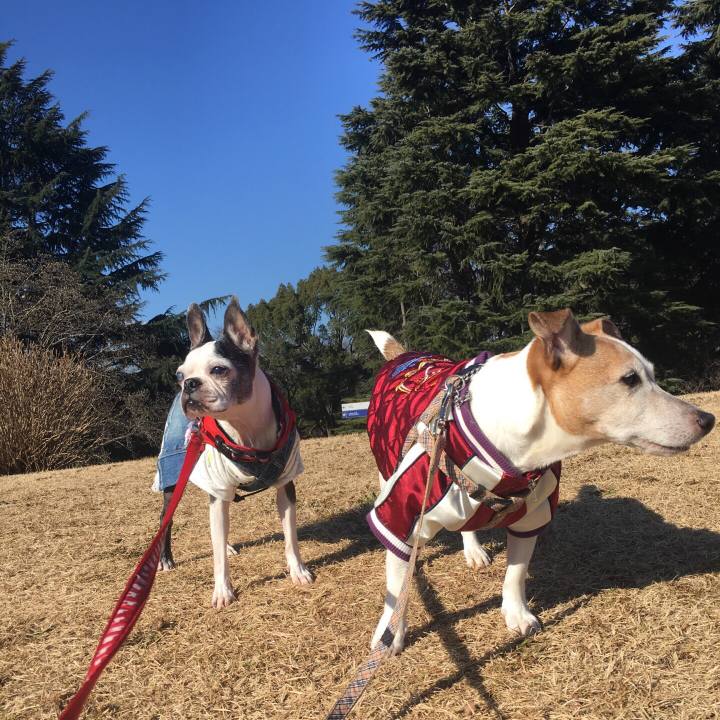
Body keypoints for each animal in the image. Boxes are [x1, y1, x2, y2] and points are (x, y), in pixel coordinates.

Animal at [159, 297, 313, 608]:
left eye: (219, 370)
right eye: (180, 375)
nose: (189, 384)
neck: (244, 426)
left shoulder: (286, 482)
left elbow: (290, 536)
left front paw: (298, 571)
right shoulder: (217, 488)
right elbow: (217, 556)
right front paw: (222, 591)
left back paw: (228, 545)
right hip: (173, 480)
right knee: (166, 521)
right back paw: (165, 560)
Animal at [366, 309, 715, 654]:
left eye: (653, 375)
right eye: (630, 379)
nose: (708, 419)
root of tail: (406, 355)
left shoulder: (533, 512)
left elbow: (516, 573)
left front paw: (516, 614)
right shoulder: (402, 511)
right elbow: (395, 589)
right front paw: (390, 634)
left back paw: (473, 551)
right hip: (387, 466)